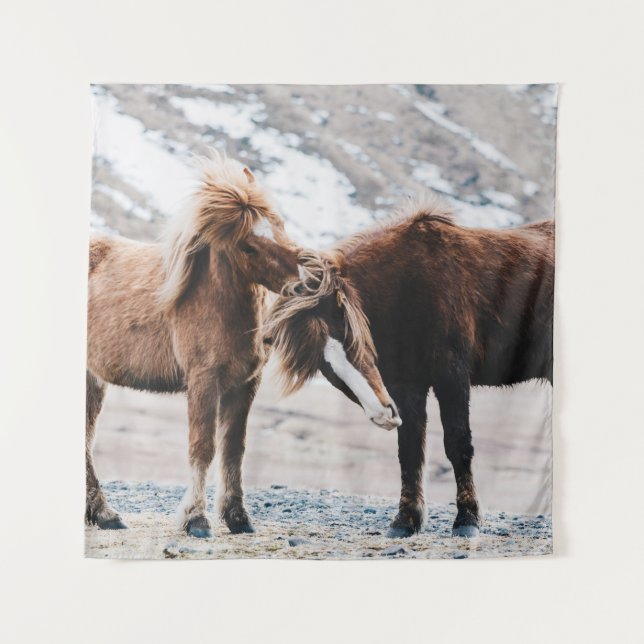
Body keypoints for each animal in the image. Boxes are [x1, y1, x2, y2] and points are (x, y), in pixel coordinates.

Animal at [265, 198, 554, 538]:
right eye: (323, 364)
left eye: (350, 336)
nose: (382, 414)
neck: (408, 287)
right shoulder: (407, 386)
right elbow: (410, 449)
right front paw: (406, 520)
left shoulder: (451, 376)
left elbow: (457, 443)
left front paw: (467, 519)